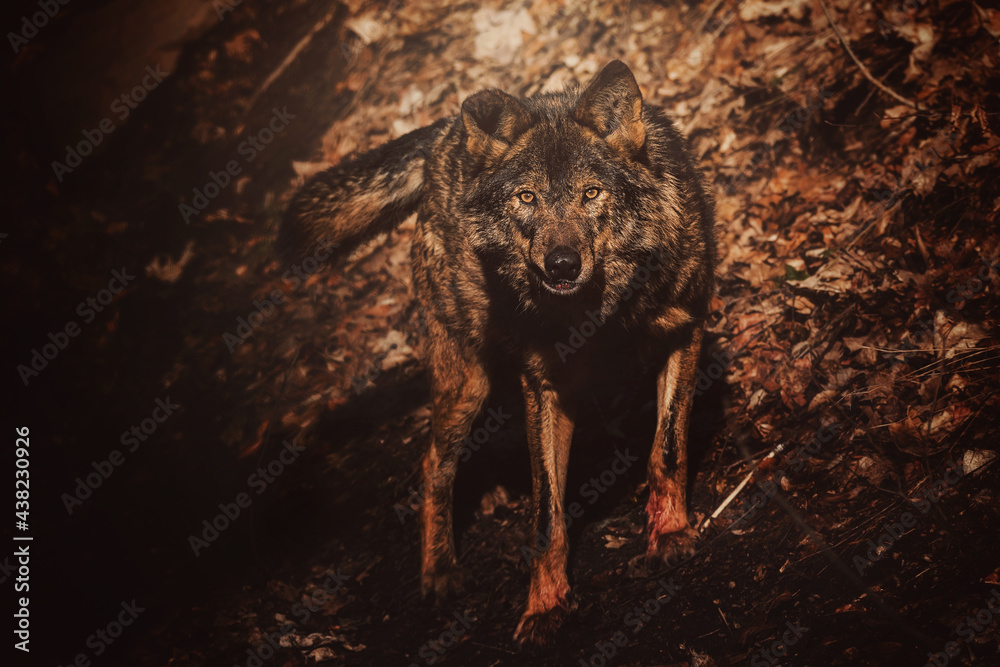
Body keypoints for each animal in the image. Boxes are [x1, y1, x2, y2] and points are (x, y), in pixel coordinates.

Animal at [281, 60, 716, 645]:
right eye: (527, 198)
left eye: (592, 193)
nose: (561, 264)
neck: (598, 313)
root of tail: (447, 132)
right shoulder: (546, 385)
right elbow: (546, 514)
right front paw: (544, 605)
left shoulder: (683, 329)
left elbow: (666, 448)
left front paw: (668, 534)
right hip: (467, 381)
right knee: (432, 464)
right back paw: (439, 572)